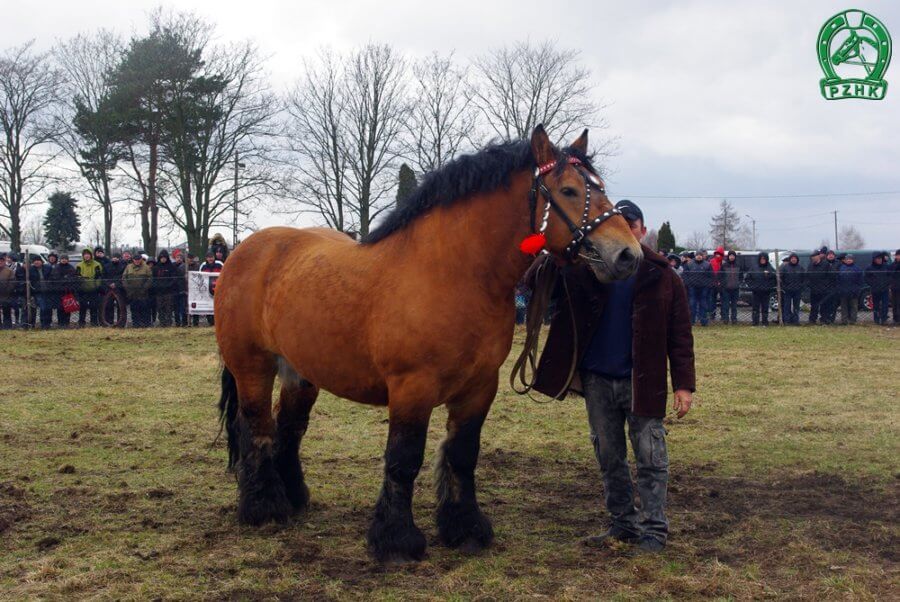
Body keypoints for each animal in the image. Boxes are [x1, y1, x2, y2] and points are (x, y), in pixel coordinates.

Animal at [216, 123, 640, 564]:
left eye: (599, 186)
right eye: (570, 190)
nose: (628, 255)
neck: (453, 274)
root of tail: (244, 251)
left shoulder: (479, 387)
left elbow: (462, 454)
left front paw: (465, 529)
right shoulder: (411, 387)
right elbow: (404, 459)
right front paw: (396, 540)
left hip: (300, 371)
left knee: (290, 426)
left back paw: (295, 498)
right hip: (252, 366)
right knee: (256, 426)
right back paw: (264, 508)